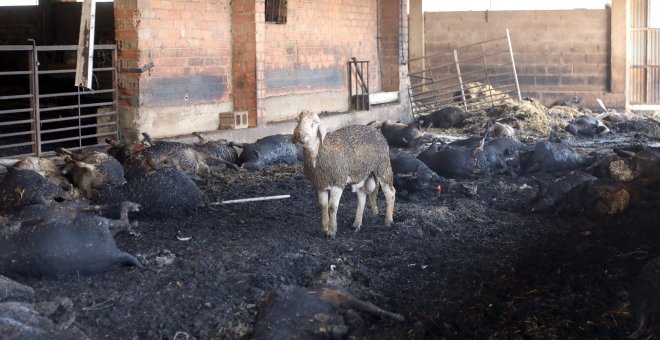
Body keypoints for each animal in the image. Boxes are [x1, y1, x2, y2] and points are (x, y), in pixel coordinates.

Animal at [292, 110, 394, 238]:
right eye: (297, 121)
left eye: (315, 122)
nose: (299, 135)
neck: (319, 153)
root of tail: (376, 131)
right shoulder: (320, 184)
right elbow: (323, 206)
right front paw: (324, 229)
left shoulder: (338, 181)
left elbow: (332, 207)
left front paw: (331, 231)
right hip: (361, 174)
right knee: (362, 197)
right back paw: (356, 224)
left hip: (383, 166)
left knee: (390, 193)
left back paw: (388, 221)